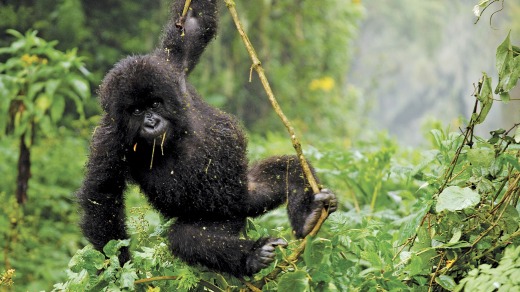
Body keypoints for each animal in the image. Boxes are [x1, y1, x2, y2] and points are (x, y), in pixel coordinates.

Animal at [77, 0, 338, 278]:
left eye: (155, 104)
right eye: (136, 111)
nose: (151, 122)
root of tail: (240, 213)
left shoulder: (172, 67)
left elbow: (193, 23)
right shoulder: (109, 138)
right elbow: (102, 194)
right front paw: (118, 265)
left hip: (246, 191)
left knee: (288, 168)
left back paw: (308, 216)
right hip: (219, 218)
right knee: (190, 238)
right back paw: (253, 255)